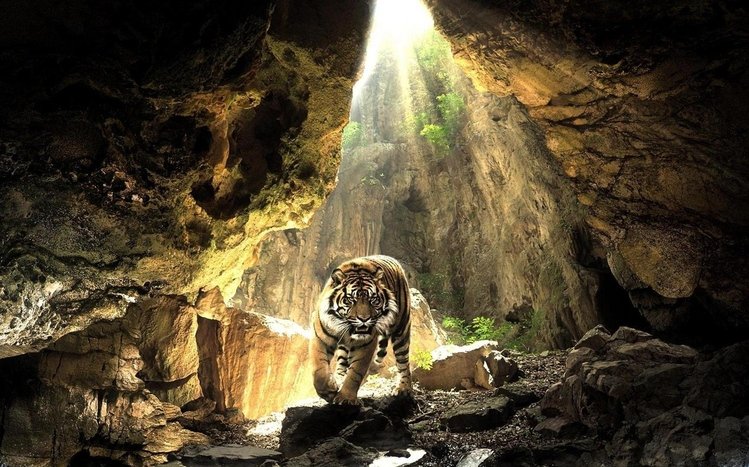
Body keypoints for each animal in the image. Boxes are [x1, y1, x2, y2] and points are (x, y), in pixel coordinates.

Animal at [310, 255, 412, 405]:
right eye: (350, 300)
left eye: (373, 300)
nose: (364, 319)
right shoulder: (320, 338)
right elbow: (319, 369)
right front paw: (329, 391)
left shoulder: (365, 345)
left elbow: (355, 372)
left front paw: (346, 398)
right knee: (342, 362)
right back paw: (339, 379)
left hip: (401, 329)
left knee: (403, 361)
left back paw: (404, 388)